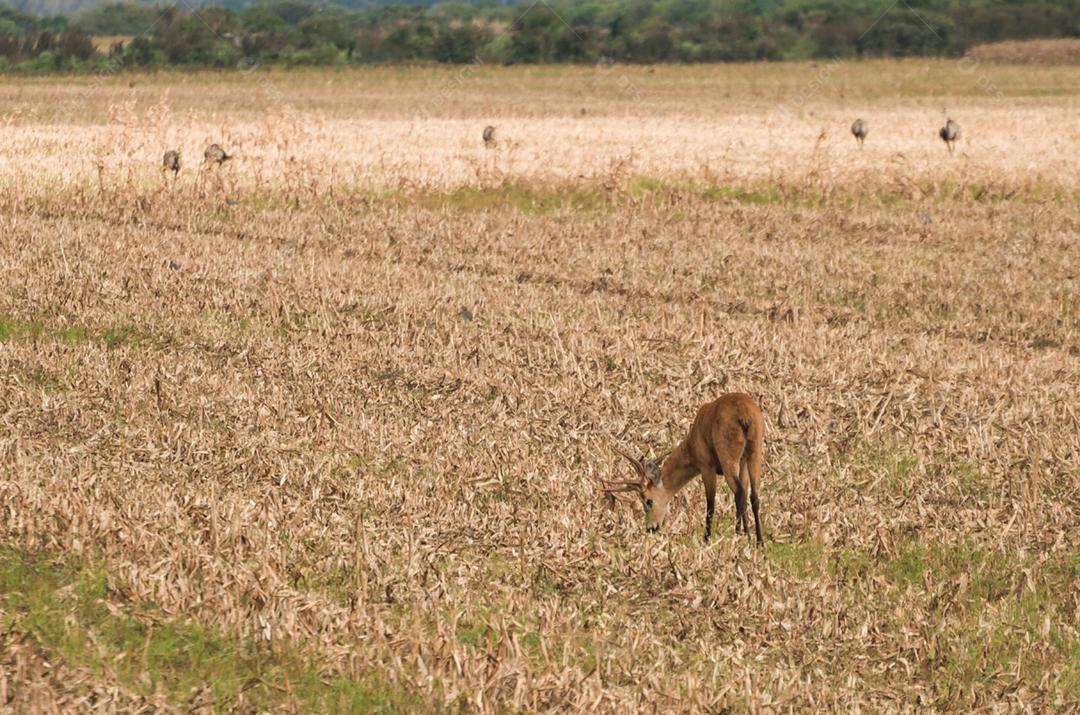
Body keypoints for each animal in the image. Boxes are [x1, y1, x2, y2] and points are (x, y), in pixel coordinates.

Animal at [600, 395, 768, 546]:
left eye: (648, 500)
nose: (650, 528)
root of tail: (745, 415)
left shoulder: (706, 466)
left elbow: (711, 504)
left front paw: (706, 540)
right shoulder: (742, 462)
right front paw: (746, 535)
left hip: (729, 457)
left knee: (739, 492)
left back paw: (737, 536)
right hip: (754, 453)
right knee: (753, 495)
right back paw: (759, 541)